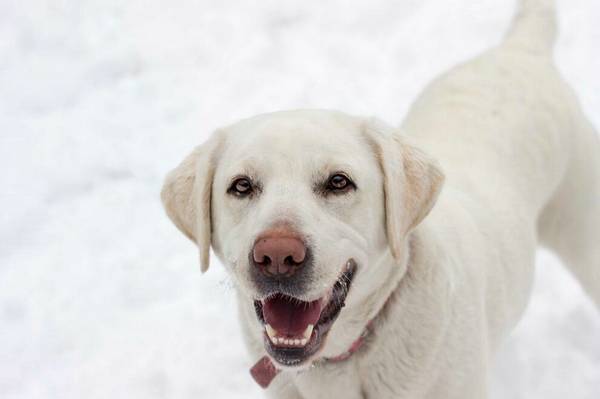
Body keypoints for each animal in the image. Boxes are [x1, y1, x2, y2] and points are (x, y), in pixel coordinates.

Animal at [161, 1, 600, 398]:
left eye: (339, 182)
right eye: (241, 186)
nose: (277, 255)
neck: (339, 364)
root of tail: (521, 47)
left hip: (585, 239)